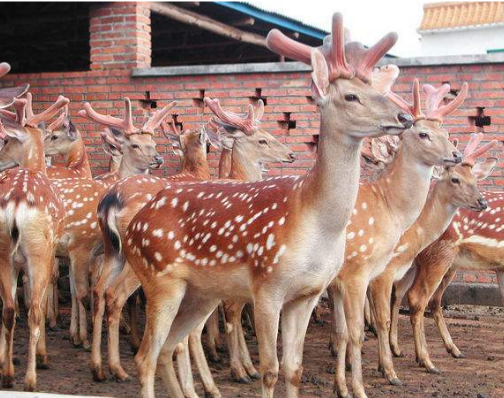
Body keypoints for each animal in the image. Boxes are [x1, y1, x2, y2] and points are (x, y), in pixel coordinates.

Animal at [122, 13, 414, 398]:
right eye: (351, 95)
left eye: (378, 91)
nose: (404, 117)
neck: (314, 220)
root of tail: (132, 227)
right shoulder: (267, 287)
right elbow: (270, 370)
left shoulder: (307, 294)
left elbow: (294, 369)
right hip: (159, 279)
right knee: (146, 356)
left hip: (200, 292)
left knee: (170, 347)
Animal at [326, 80, 464, 398]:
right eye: (423, 133)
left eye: (446, 132)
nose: (456, 155)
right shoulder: (370, 273)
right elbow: (378, 320)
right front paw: (389, 373)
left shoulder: (344, 280)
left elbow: (344, 331)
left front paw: (343, 386)